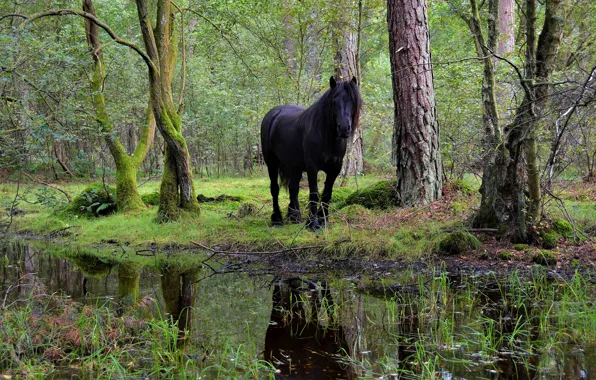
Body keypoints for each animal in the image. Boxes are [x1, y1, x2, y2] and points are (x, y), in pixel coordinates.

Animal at [260, 74, 360, 229]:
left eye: (352, 101)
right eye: (333, 102)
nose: (344, 128)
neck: (327, 137)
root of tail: (273, 114)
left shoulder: (335, 169)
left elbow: (327, 194)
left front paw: (323, 219)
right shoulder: (312, 168)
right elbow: (314, 193)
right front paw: (313, 223)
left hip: (293, 166)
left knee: (293, 187)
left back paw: (295, 216)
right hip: (272, 163)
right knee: (275, 188)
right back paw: (277, 219)